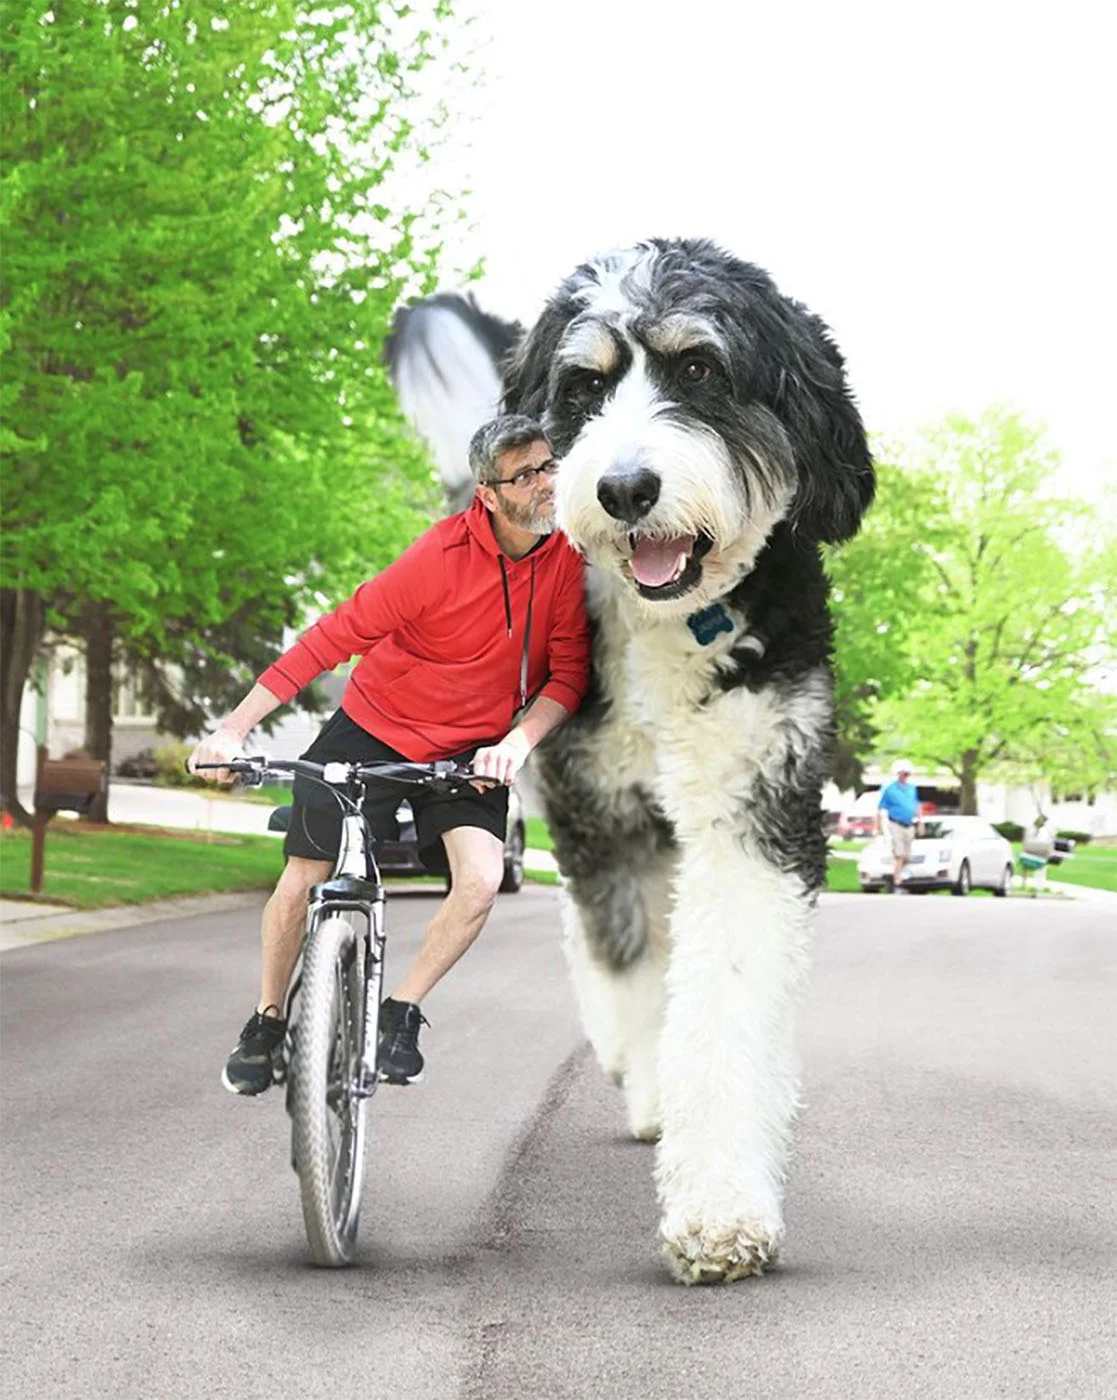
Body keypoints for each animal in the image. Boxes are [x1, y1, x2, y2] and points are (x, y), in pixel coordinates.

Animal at [389, 238, 879, 1282]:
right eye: (583, 386)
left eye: (698, 369)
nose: (620, 491)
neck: (667, 624)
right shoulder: (600, 811)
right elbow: (638, 967)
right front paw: (665, 1103)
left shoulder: (753, 802)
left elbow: (727, 997)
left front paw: (721, 1203)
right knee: (604, 942)